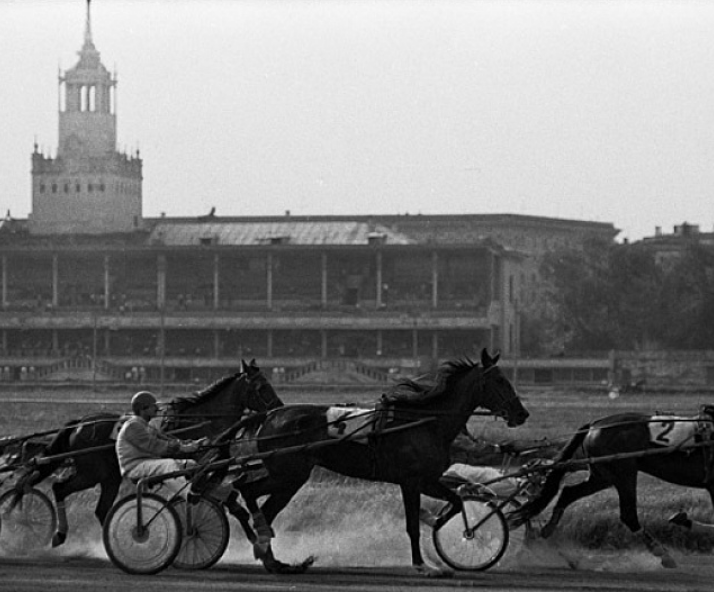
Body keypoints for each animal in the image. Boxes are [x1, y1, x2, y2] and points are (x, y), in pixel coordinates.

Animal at [13, 360, 276, 552]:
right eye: (262, 387)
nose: (277, 407)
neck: (201, 421)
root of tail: (81, 423)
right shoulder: (199, 472)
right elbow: (227, 501)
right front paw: (256, 538)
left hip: (108, 477)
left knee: (101, 509)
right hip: (91, 473)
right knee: (60, 488)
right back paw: (62, 533)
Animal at [234, 350, 528, 576]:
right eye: (500, 380)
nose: (522, 414)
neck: (424, 423)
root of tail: (270, 415)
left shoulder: (426, 480)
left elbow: (454, 502)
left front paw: (442, 526)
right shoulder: (411, 481)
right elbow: (413, 525)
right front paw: (424, 564)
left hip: (289, 476)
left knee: (259, 502)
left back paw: (272, 558)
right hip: (288, 474)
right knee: (247, 489)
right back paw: (264, 545)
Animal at [506, 408, 712, 568]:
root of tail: (595, 424)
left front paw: (684, 519)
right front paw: (684, 520)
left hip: (602, 475)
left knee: (568, 492)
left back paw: (548, 529)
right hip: (623, 472)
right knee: (628, 514)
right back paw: (662, 553)